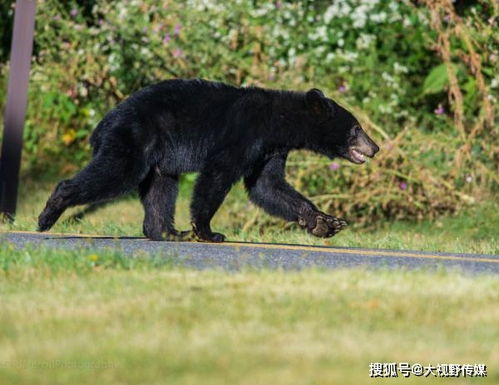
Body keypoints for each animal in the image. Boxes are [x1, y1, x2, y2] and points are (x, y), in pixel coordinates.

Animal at [39, 77, 380, 240]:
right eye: (356, 128)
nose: (375, 147)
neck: (278, 121)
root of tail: (102, 124)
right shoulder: (244, 135)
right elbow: (217, 175)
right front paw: (208, 230)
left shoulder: (269, 150)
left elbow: (268, 186)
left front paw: (325, 222)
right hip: (133, 139)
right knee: (114, 173)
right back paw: (48, 214)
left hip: (159, 158)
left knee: (161, 189)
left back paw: (168, 232)